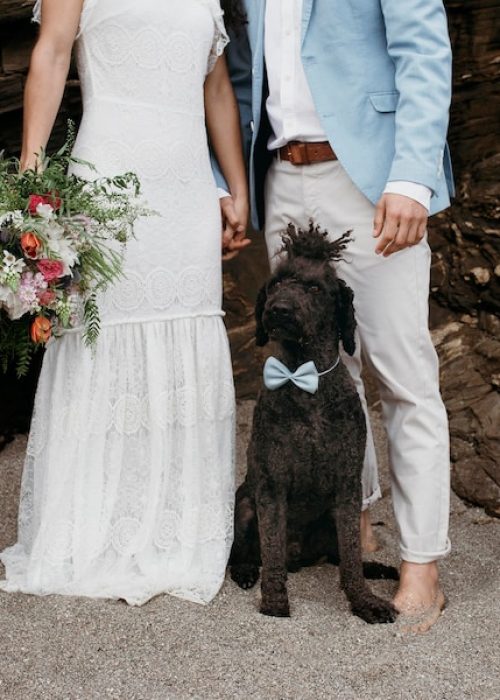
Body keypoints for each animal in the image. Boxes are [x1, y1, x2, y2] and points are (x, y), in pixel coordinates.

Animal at [230, 224, 398, 624]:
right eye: (277, 283)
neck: (304, 382)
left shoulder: (347, 487)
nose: (279, 309)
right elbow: (272, 549)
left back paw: (377, 569)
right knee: (243, 551)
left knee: (339, 556)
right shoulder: (271, 487)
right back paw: (245, 570)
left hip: (329, 519)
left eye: (315, 288)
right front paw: (274, 600)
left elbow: (350, 556)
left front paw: (364, 601)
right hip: (243, 504)